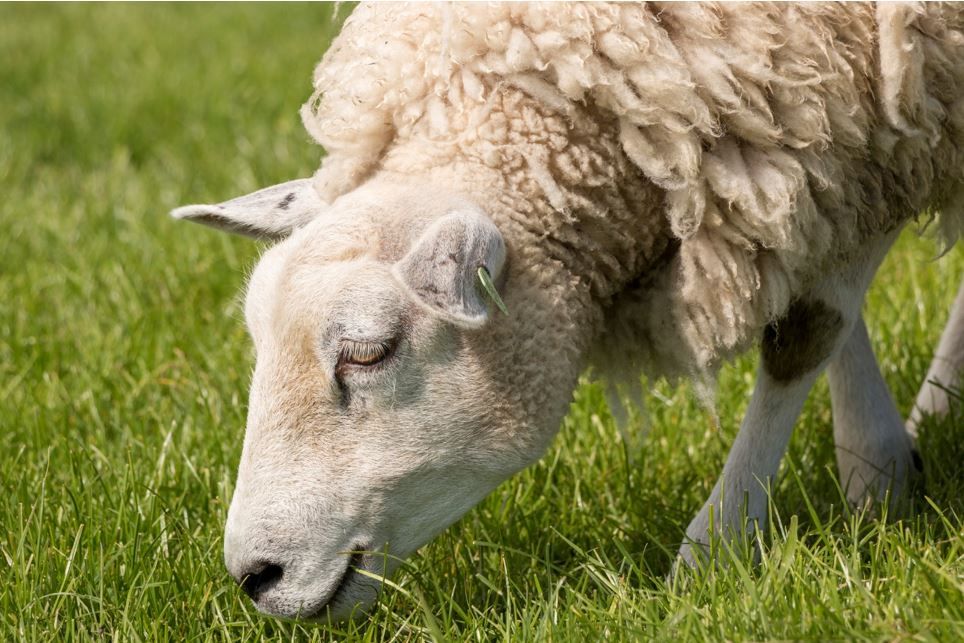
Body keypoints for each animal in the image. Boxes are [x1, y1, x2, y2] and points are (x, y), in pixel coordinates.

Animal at [171, 2, 964, 621]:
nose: (254, 577)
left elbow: (805, 330)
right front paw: (883, 470)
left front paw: (716, 550)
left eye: (369, 351)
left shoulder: (870, 112)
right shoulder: (839, 137)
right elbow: (820, 298)